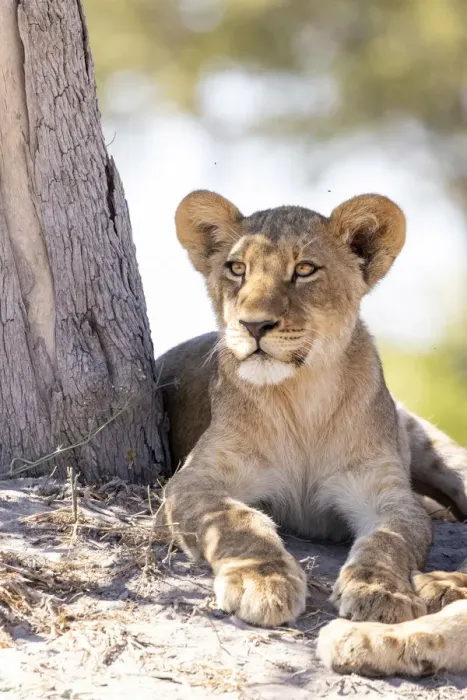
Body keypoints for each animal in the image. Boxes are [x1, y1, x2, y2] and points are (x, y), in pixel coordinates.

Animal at [156, 190, 467, 677]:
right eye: (236, 268)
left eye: (304, 270)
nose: (254, 325)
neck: (301, 399)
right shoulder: (191, 481)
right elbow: (236, 520)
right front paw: (261, 581)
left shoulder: (386, 492)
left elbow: (390, 539)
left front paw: (379, 593)